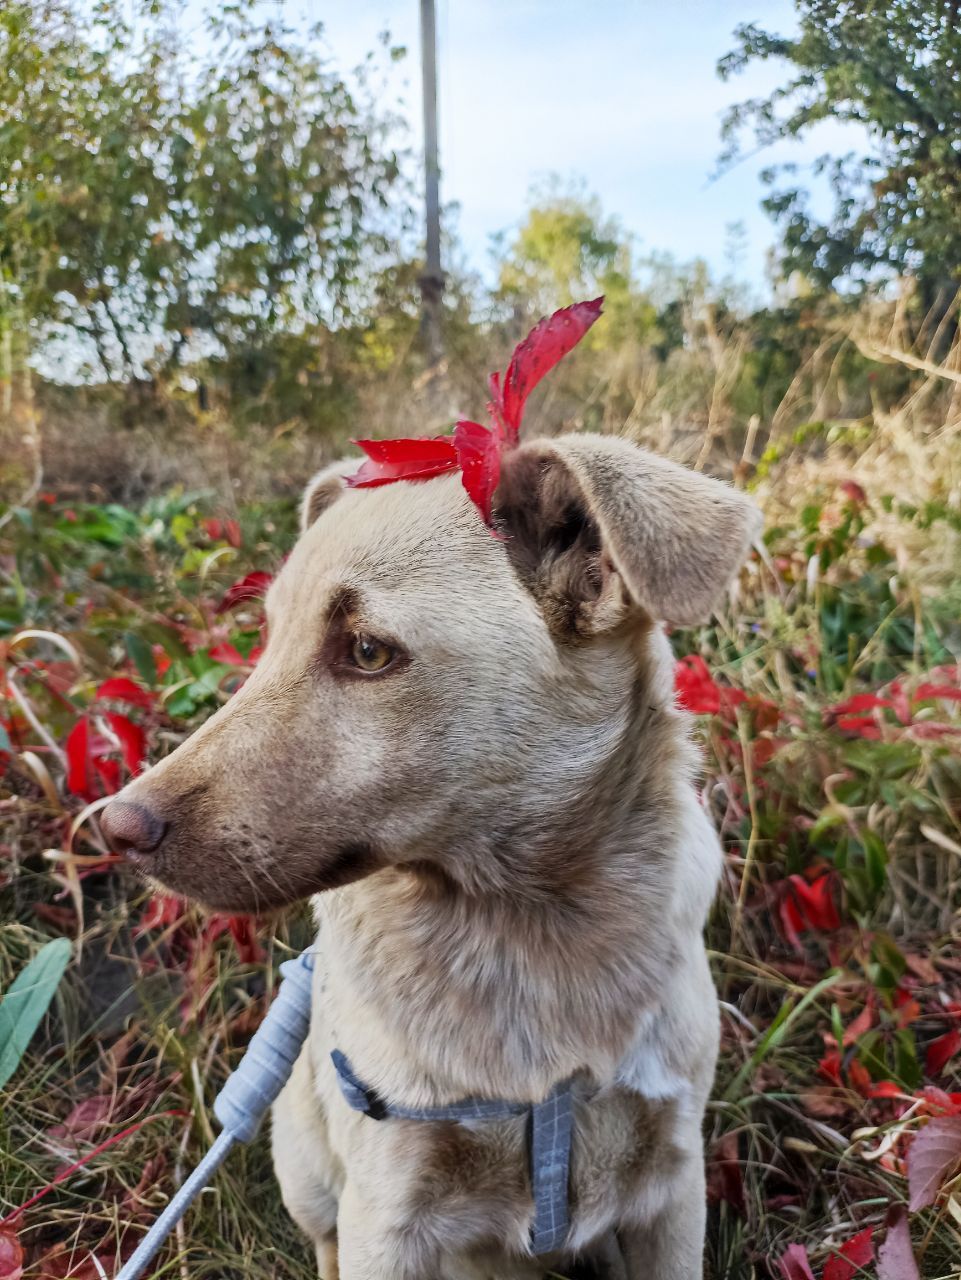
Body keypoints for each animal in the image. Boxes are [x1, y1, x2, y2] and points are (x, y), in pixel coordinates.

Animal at [103, 432, 767, 1280]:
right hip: (302, 1153)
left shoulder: (670, 1188)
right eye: (269, 637)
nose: (116, 828)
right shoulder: (387, 1212)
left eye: (365, 650)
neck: (523, 935)